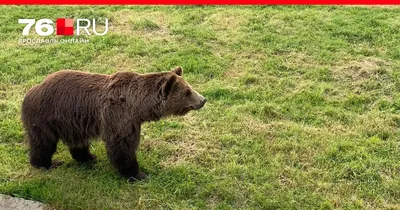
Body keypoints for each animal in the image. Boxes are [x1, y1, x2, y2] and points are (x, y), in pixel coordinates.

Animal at [21, 67, 206, 180]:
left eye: (190, 87)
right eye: (187, 92)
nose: (203, 99)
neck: (138, 106)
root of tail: (31, 90)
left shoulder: (131, 120)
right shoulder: (119, 117)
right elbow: (122, 147)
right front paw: (138, 174)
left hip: (73, 122)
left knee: (78, 142)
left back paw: (88, 157)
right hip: (45, 117)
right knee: (43, 143)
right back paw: (48, 164)